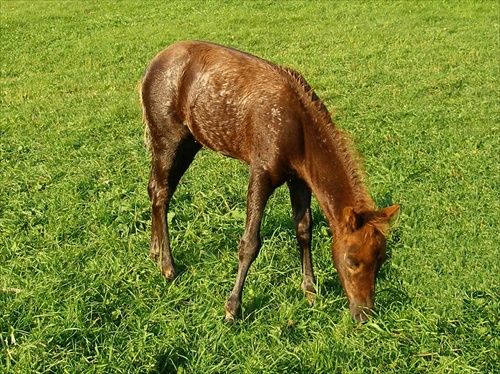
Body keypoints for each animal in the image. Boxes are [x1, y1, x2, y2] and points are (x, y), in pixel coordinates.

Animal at [140, 40, 398, 322]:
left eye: (382, 259)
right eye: (352, 261)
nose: (364, 314)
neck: (297, 132)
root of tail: (152, 65)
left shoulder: (299, 180)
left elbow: (304, 230)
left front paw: (310, 289)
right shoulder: (261, 172)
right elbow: (250, 243)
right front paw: (232, 307)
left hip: (191, 142)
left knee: (155, 188)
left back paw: (154, 251)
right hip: (168, 138)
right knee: (161, 192)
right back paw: (168, 267)